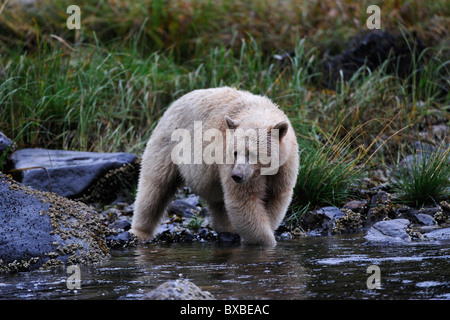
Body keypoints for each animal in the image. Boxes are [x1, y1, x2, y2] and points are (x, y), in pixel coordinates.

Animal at [130, 86, 298, 246]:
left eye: (253, 153)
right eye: (235, 152)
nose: (237, 175)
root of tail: (173, 104)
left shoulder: (284, 166)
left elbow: (275, 197)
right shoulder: (229, 161)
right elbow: (244, 200)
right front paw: (266, 241)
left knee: (218, 201)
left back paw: (226, 228)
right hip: (168, 144)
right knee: (155, 187)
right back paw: (140, 231)